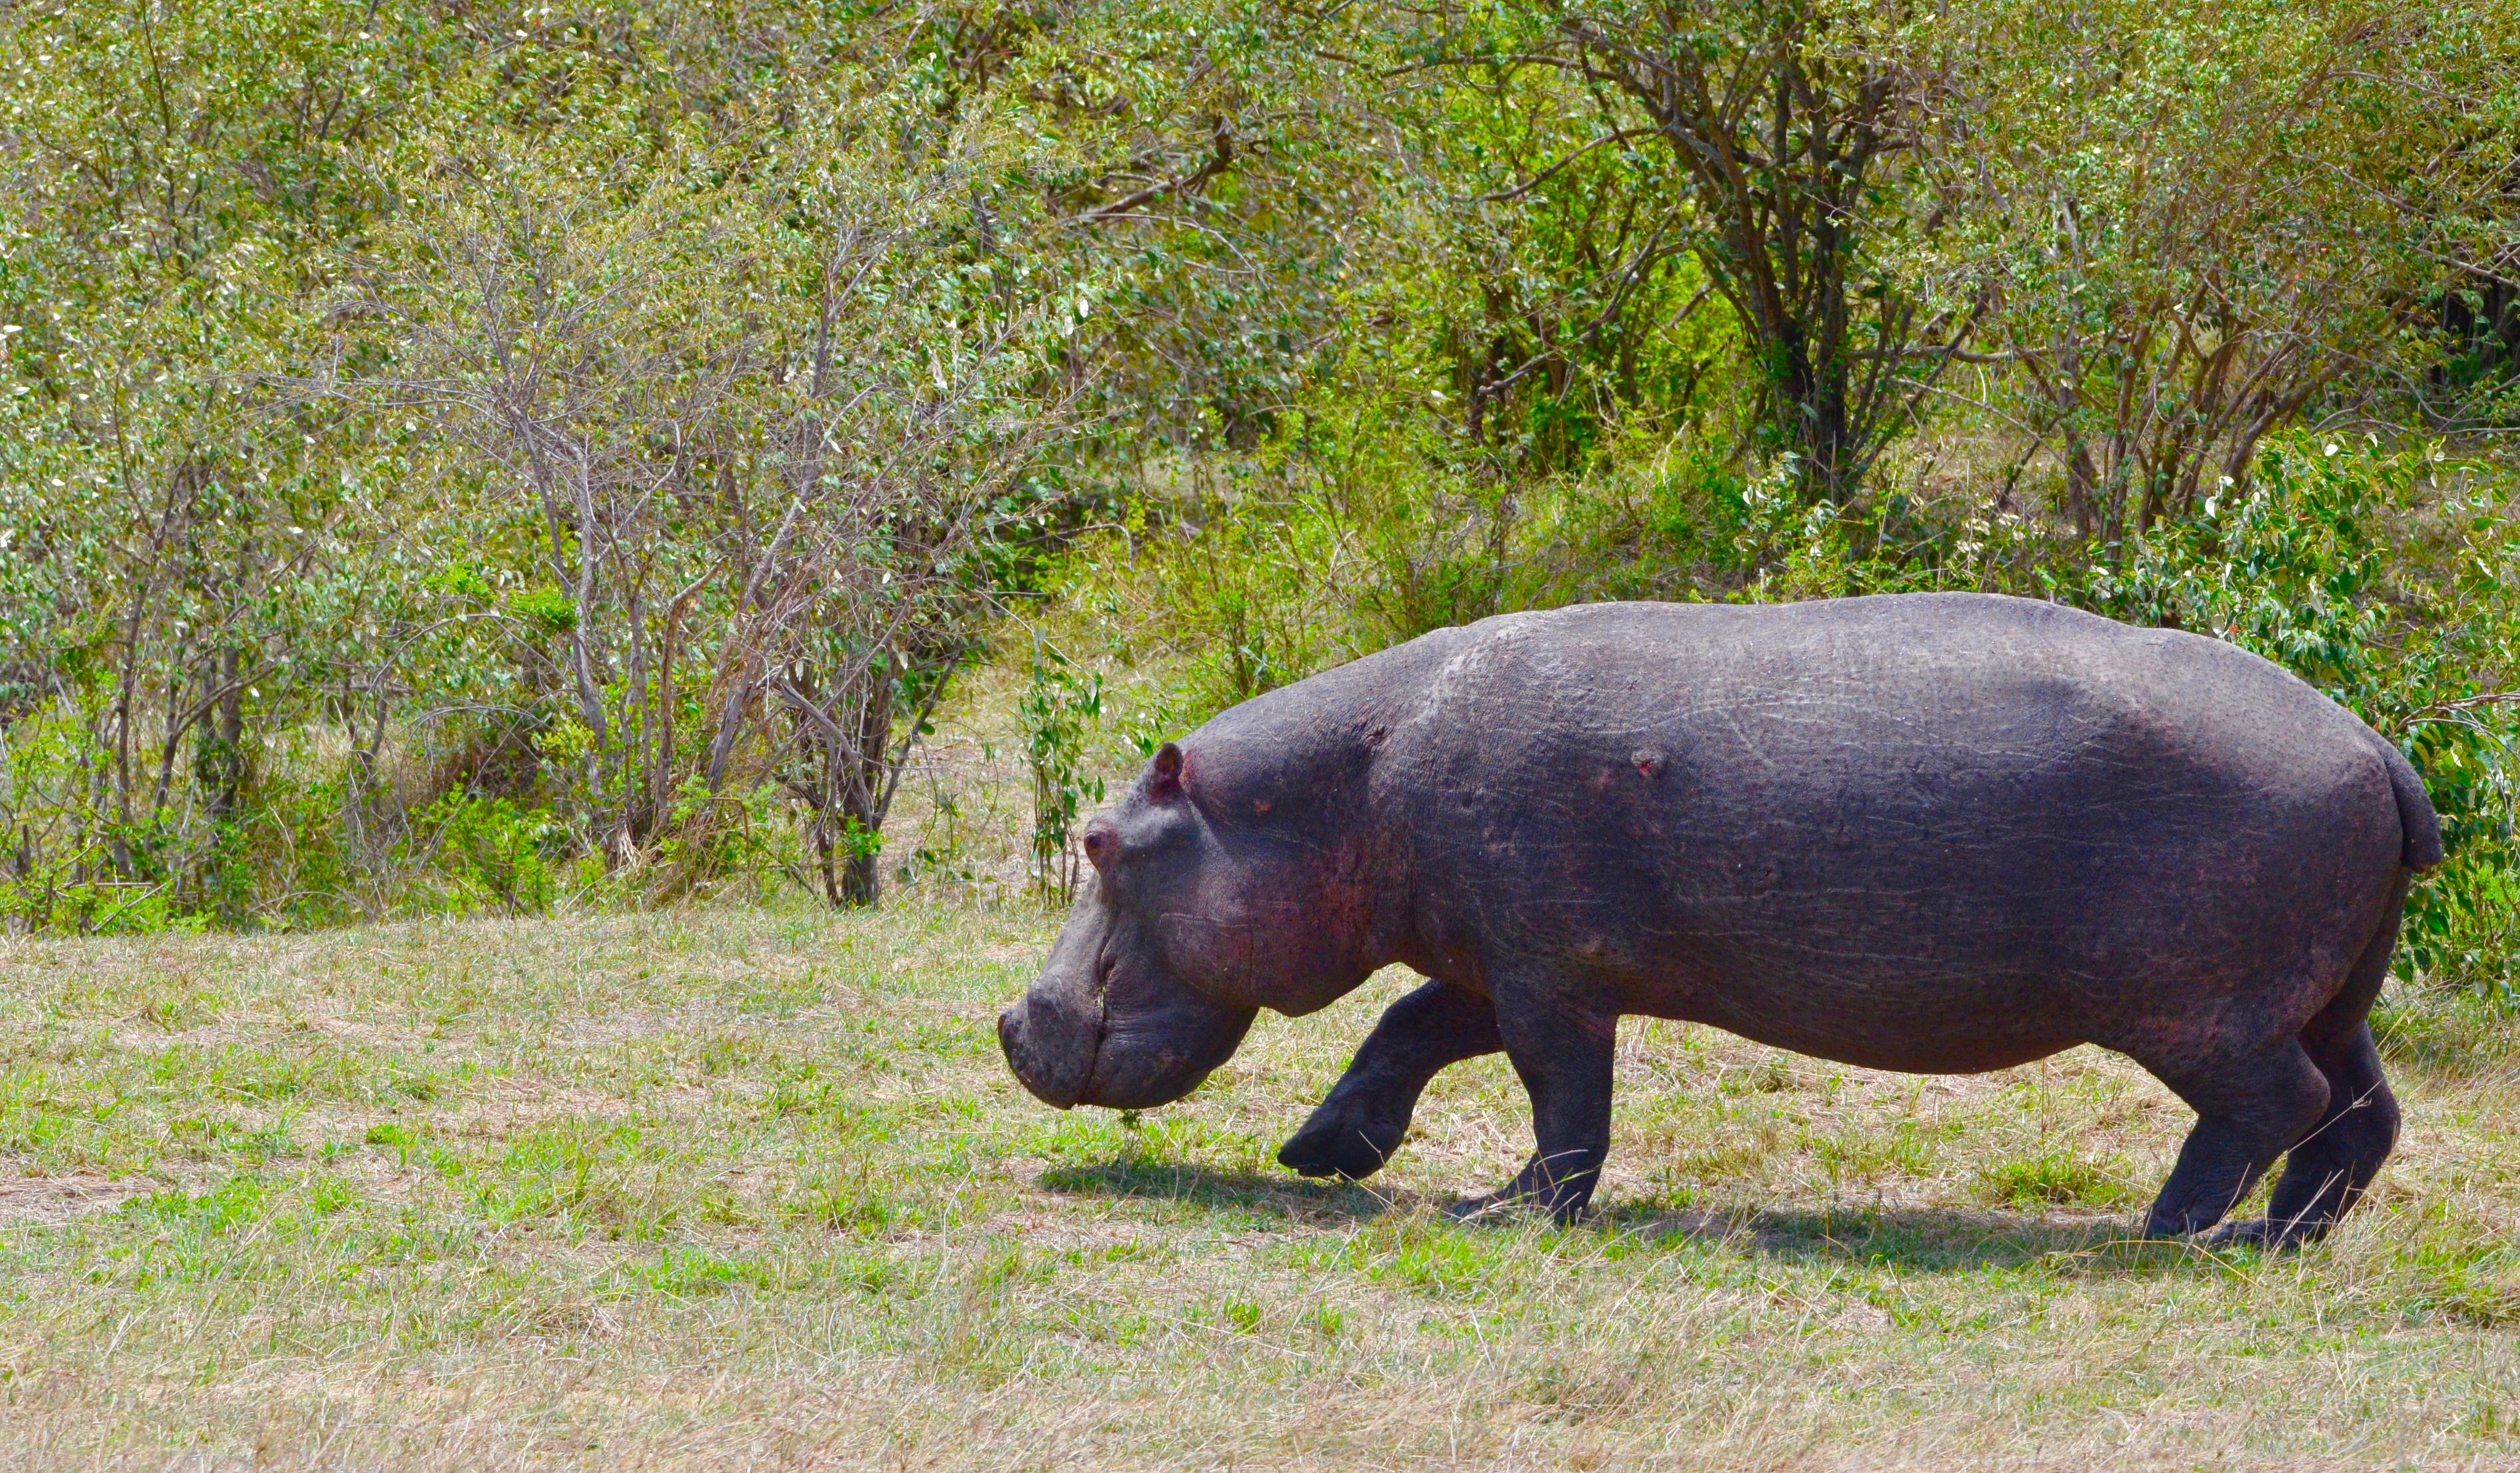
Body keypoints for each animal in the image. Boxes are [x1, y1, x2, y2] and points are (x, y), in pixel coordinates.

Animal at [993, 592, 2429, 1249]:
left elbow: (1561, 1098)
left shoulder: (1547, 975)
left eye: (1101, 840)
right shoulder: (1495, 955)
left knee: (2276, 1102)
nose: (1012, 1022)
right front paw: (1319, 1151)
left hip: (2198, 1009)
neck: (1338, 786)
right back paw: (2283, 1232)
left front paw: (1503, 1208)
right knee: (2365, 1111)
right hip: (2326, 991)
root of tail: (2374, 744)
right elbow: (1406, 1028)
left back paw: (2174, 1226)